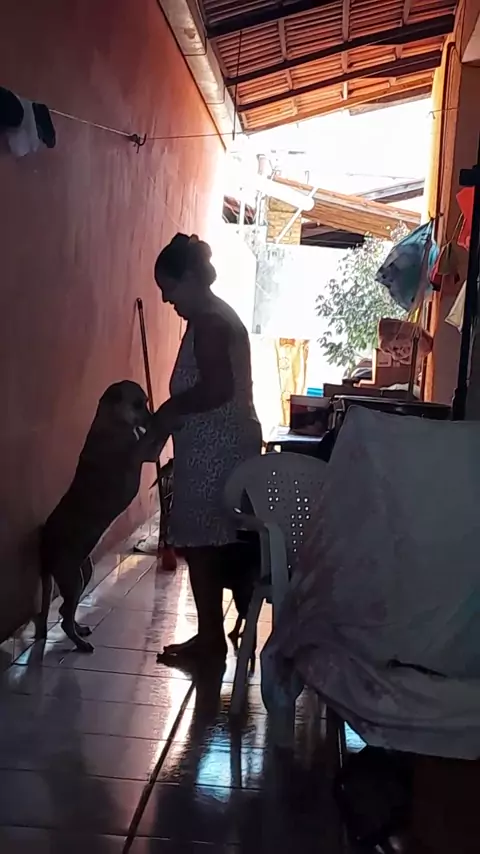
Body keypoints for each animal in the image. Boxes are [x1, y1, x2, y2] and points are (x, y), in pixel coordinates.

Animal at [36, 380, 169, 652]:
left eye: (145, 402)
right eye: (138, 404)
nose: (150, 417)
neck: (111, 419)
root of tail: (44, 546)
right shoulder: (144, 450)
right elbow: (156, 437)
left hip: (83, 571)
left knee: (66, 611)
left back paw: (79, 630)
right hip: (72, 578)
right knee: (65, 617)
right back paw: (80, 642)